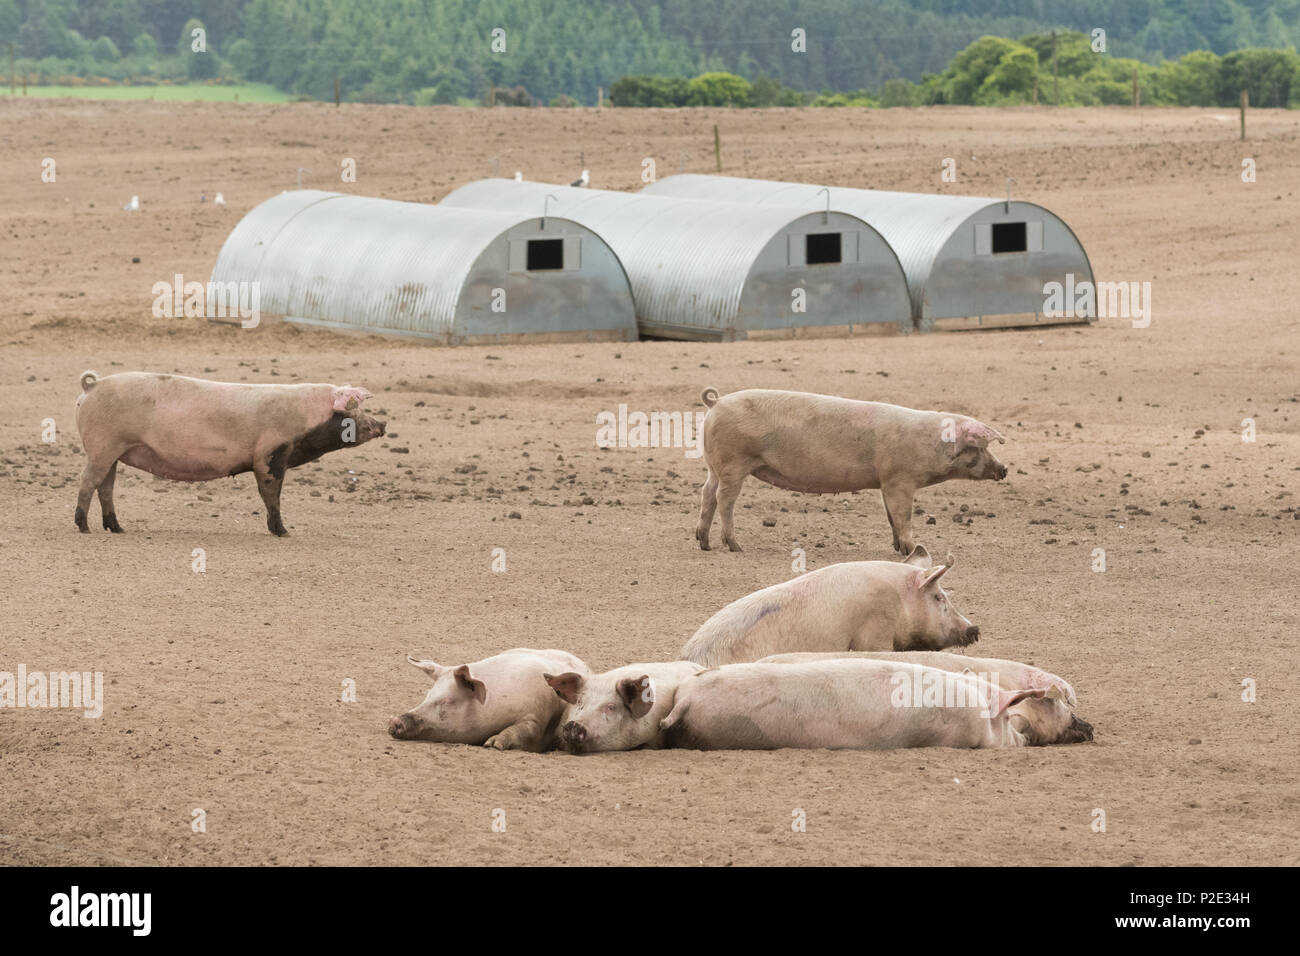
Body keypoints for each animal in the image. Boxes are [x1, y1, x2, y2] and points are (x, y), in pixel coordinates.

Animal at [73, 370, 386, 535]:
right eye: (354, 408)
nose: (382, 424)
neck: (304, 419)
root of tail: (92, 386)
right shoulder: (269, 455)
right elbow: (271, 494)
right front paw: (283, 532)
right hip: (102, 446)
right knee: (88, 482)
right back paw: (84, 527)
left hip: (113, 452)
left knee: (106, 487)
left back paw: (117, 528)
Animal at [388, 648, 590, 751]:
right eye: (428, 694)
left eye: (446, 701)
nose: (395, 720)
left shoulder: (537, 716)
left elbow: (524, 729)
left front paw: (492, 744)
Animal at [694, 387, 1007, 553]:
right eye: (980, 448)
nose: (1003, 469)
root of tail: (716, 402)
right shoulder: (900, 479)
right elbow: (903, 516)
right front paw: (911, 549)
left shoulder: (886, 483)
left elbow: (891, 517)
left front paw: (896, 548)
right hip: (734, 462)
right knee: (724, 499)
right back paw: (735, 546)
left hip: (714, 465)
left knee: (707, 493)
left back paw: (704, 543)